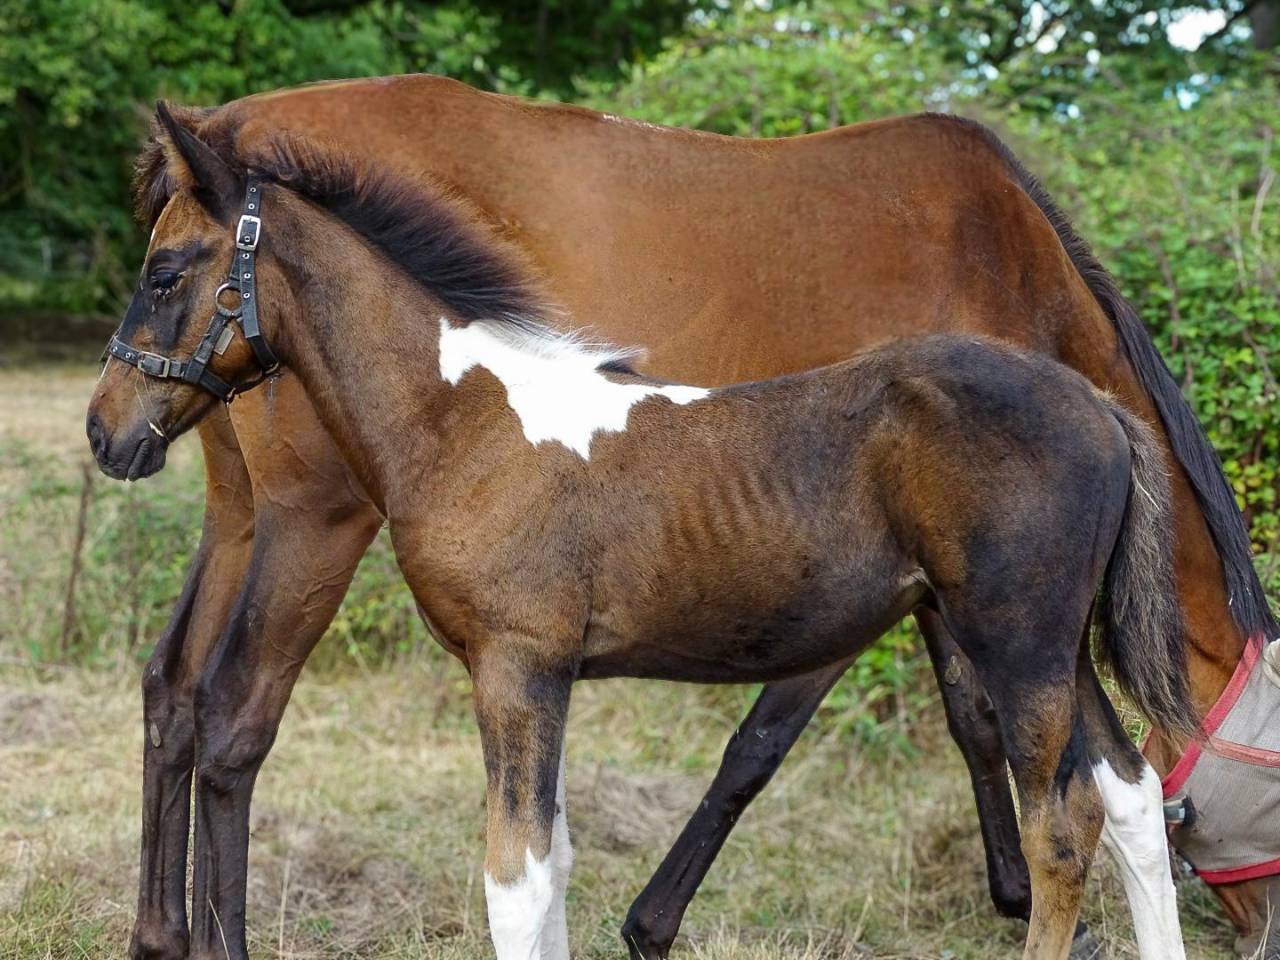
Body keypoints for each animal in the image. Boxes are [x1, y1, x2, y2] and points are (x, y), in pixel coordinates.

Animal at [109, 78, 1279, 960]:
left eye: (164, 271)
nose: (106, 429)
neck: (465, 410)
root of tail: (1096, 410)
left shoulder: (519, 664)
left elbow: (521, 875)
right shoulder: (542, 674)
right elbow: (551, 865)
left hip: (1025, 642)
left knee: (1068, 821)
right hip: (1049, 646)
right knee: (1126, 797)